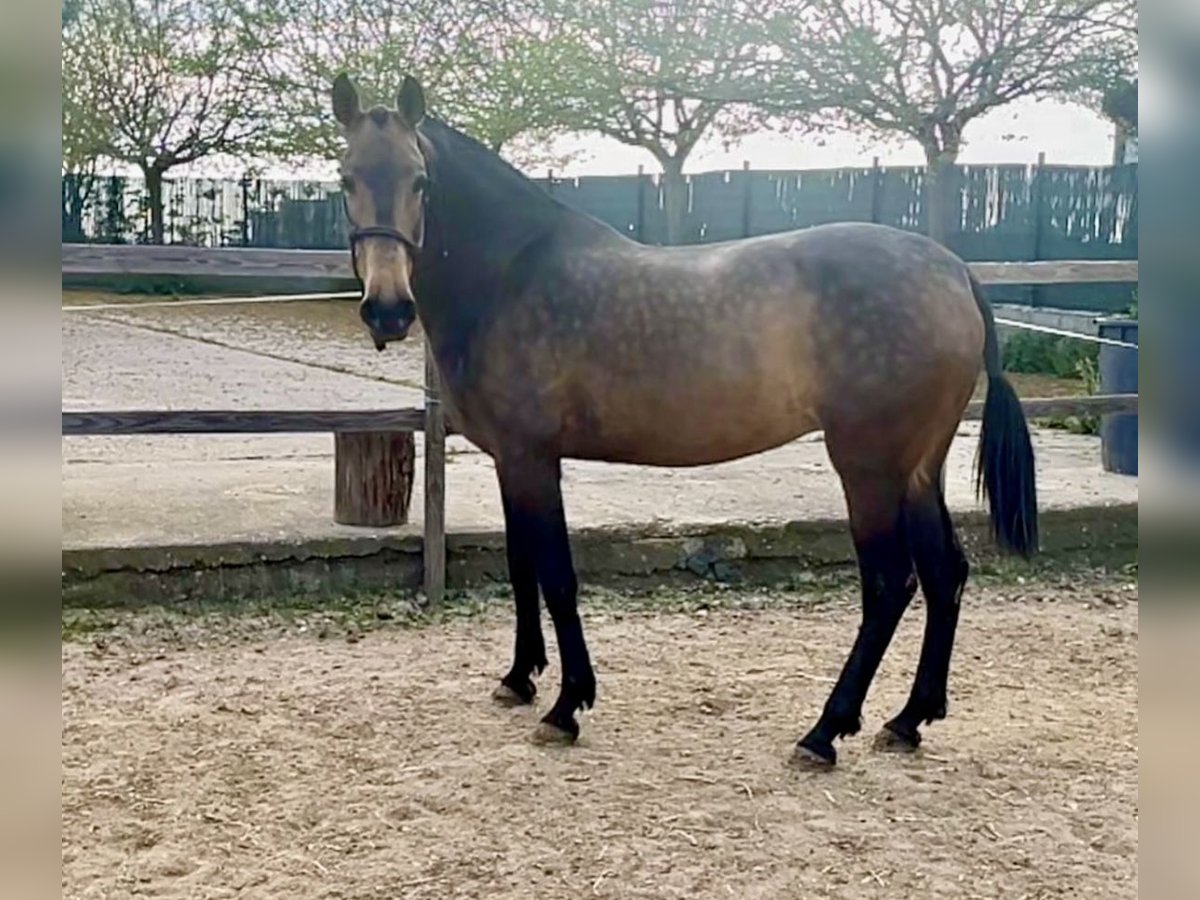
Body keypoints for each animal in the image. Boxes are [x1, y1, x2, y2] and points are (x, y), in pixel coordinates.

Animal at [330, 73, 1038, 767]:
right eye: (346, 177)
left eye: (420, 180)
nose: (388, 310)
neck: (512, 276)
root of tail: (952, 271)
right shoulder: (510, 458)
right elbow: (522, 566)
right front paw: (519, 679)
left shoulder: (533, 457)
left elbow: (556, 575)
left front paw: (567, 706)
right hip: (918, 469)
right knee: (945, 574)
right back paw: (908, 719)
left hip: (867, 467)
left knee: (890, 584)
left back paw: (824, 733)